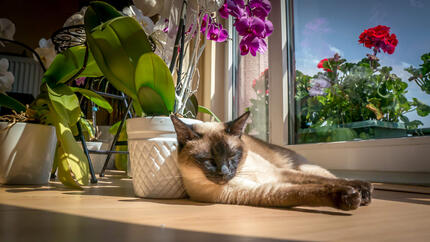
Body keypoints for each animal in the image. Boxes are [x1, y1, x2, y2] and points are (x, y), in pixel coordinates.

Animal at [170, 112, 372, 210]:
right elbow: (308, 191)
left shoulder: (279, 173)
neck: (243, 171)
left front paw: (360, 191)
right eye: (208, 160)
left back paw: (364, 188)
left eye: (232, 156)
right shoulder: (264, 191)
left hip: (303, 167)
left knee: (329, 176)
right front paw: (350, 196)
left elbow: (323, 182)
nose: (224, 172)